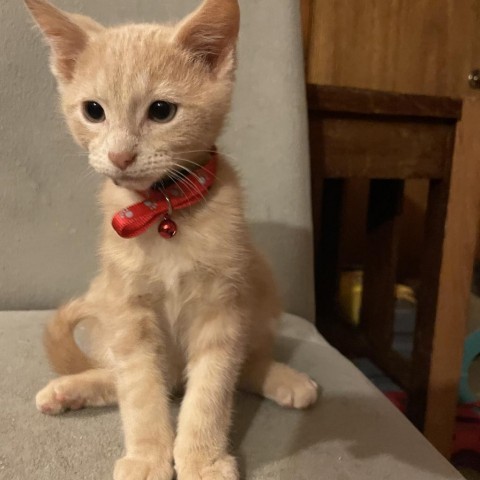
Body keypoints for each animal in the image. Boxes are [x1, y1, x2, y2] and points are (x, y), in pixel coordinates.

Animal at [25, 0, 318, 480]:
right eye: (93, 111)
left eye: (161, 111)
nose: (120, 155)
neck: (164, 211)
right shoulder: (128, 314)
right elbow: (140, 392)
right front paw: (148, 456)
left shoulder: (223, 310)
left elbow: (213, 390)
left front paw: (202, 457)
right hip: (105, 298)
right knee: (122, 378)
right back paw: (70, 389)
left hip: (259, 280)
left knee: (246, 363)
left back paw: (283, 378)